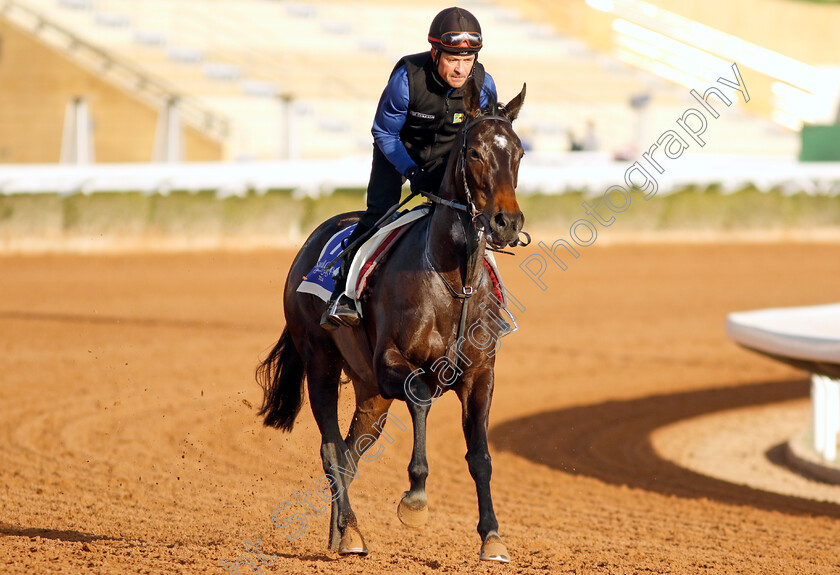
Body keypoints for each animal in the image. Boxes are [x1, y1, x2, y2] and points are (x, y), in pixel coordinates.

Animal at [260, 77, 528, 564]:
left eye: (518, 152)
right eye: (475, 152)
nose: (506, 223)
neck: (452, 280)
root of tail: (309, 244)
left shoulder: (480, 374)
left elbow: (480, 454)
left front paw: (493, 538)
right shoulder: (392, 363)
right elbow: (421, 395)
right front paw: (416, 500)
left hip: (370, 393)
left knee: (349, 454)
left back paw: (342, 532)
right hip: (321, 363)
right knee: (331, 448)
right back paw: (350, 533)